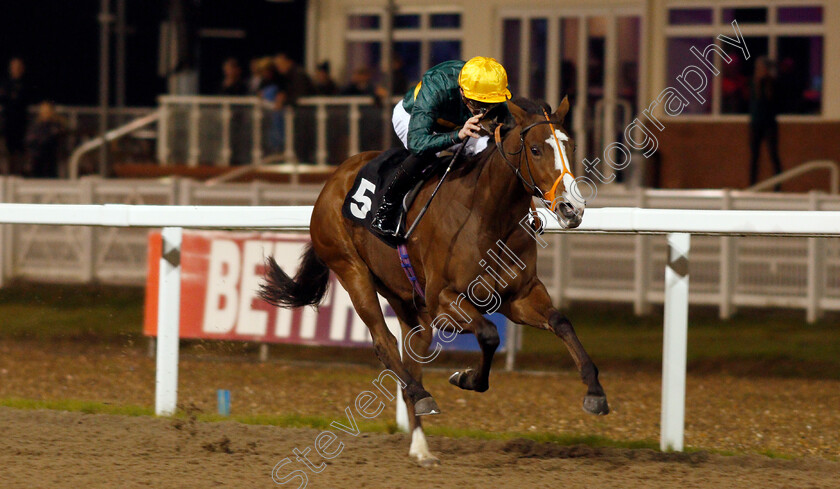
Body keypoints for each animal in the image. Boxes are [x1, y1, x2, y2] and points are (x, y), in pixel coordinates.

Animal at [260, 95, 608, 466]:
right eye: (536, 149)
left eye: (570, 146)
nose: (572, 208)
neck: (486, 213)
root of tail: (332, 180)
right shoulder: (444, 301)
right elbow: (488, 334)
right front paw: (466, 378)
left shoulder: (520, 295)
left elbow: (560, 321)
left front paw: (595, 392)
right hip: (352, 271)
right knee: (385, 343)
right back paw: (421, 396)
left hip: (403, 296)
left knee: (412, 351)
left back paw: (421, 445)